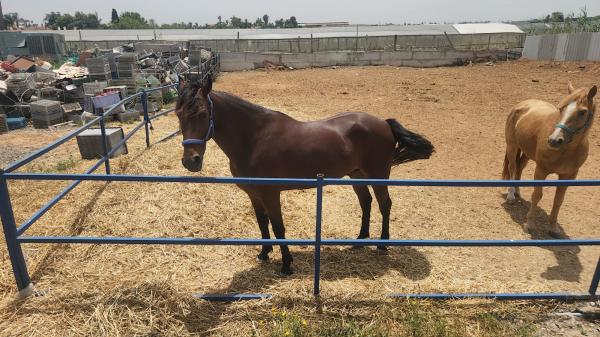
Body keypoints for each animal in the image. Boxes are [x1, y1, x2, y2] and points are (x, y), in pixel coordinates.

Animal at [176, 77, 434, 274]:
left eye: (201, 114)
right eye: (179, 114)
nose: (191, 161)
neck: (254, 139)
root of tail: (384, 122)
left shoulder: (270, 194)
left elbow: (278, 228)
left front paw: (287, 265)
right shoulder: (254, 194)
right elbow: (262, 223)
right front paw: (264, 253)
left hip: (378, 176)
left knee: (384, 204)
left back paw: (382, 245)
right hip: (357, 175)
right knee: (366, 202)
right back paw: (360, 240)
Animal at [502, 82, 596, 236]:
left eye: (582, 112)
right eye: (561, 108)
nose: (554, 140)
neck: (566, 151)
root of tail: (523, 104)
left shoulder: (568, 176)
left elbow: (558, 199)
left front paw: (553, 227)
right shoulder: (541, 170)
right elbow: (537, 195)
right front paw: (530, 224)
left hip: (527, 153)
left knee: (519, 167)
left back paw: (517, 192)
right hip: (512, 146)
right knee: (512, 167)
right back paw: (511, 195)